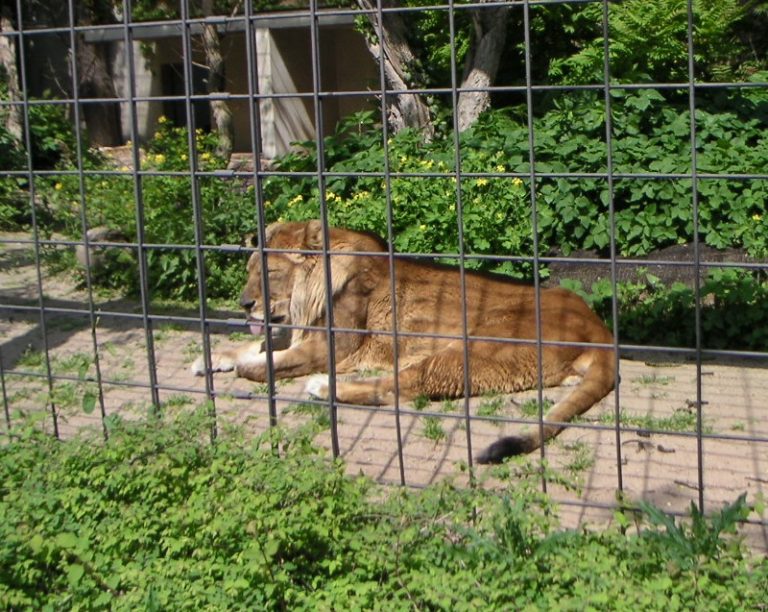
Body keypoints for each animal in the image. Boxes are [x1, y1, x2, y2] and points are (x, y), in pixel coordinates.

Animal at [194, 220, 616, 464]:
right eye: (249, 270)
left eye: (271, 273)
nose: (244, 304)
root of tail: (599, 328)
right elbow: (259, 344)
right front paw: (213, 357)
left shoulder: (335, 344)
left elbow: (269, 363)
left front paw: (248, 366)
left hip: (473, 347)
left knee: (399, 388)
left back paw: (323, 386)